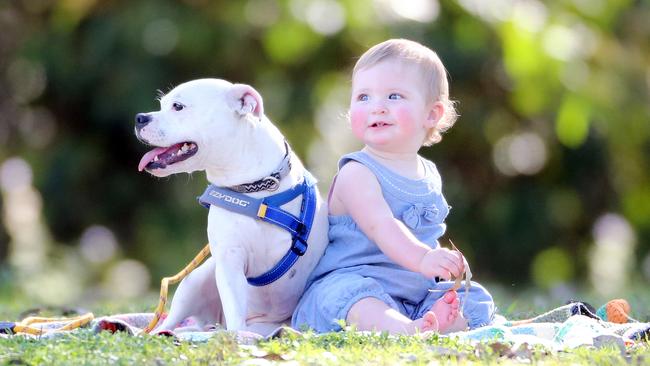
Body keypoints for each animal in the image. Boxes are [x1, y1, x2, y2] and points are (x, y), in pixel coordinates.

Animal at [136, 78, 330, 336]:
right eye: (161, 104)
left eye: (177, 106)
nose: (140, 118)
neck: (255, 190)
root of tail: (211, 322)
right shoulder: (230, 263)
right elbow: (236, 312)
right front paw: (238, 338)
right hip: (196, 280)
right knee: (168, 323)